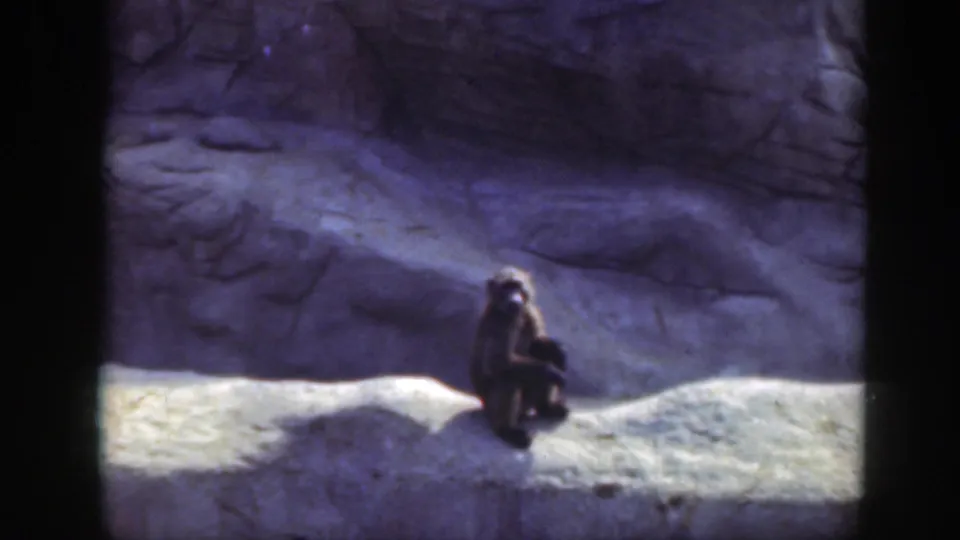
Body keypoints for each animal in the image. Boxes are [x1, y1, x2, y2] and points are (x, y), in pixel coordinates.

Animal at [469, 266, 571, 449]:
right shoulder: (500, 321)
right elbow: (500, 362)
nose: (514, 301)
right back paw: (508, 431)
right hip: (491, 405)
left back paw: (547, 407)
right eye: (505, 287)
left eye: (517, 286)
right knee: (508, 379)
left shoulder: (531, 311)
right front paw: (552, 372)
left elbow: (537, 343)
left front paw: (559, 352)